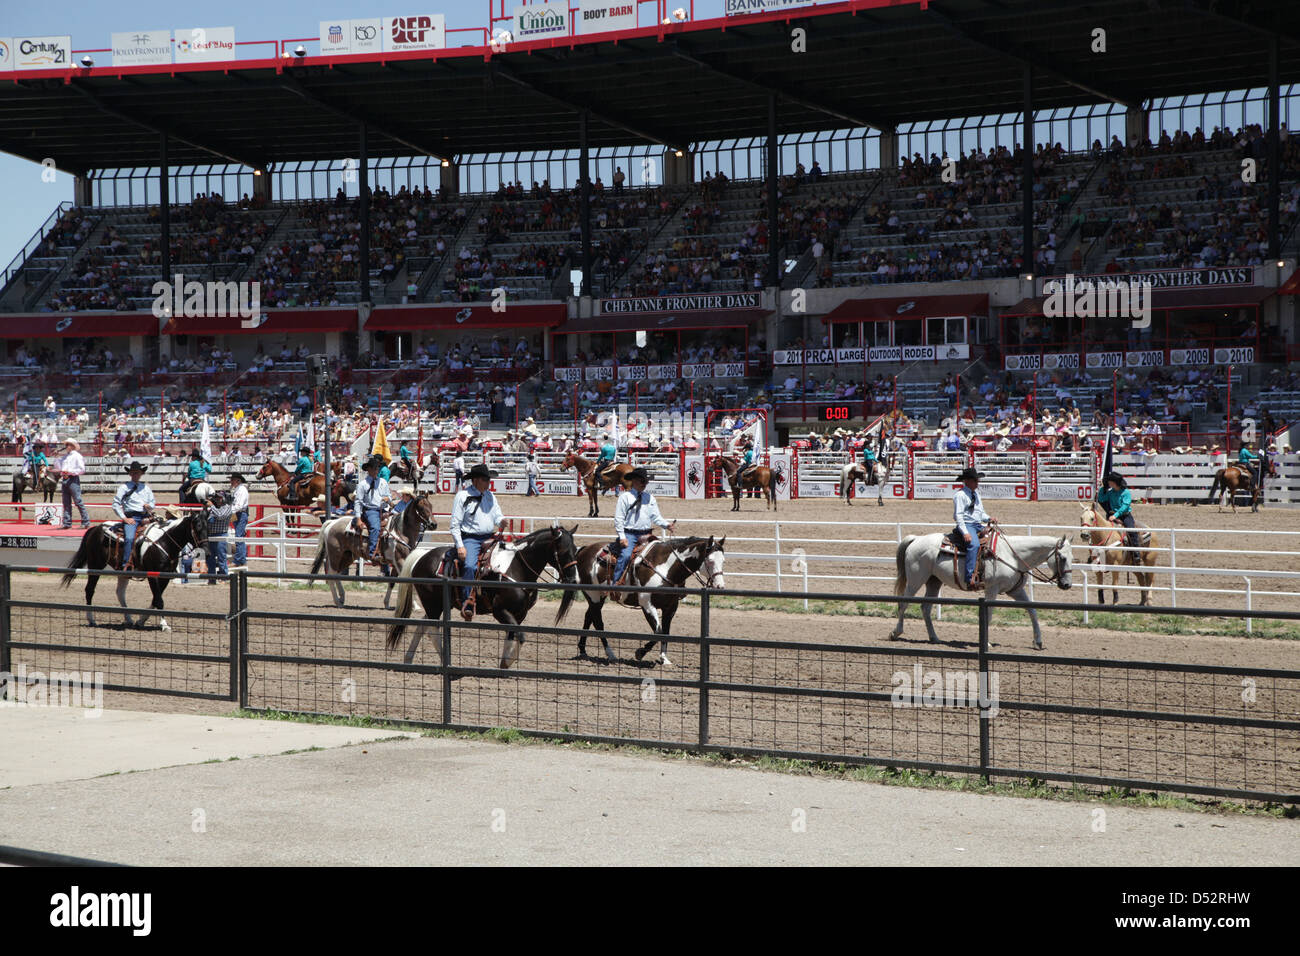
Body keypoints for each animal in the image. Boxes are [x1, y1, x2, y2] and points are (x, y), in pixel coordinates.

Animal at [59, 509, 209, 634]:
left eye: (207, 526)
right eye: (198, 526)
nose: (207, 549)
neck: (164, 541)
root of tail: (95, 528)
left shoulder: (165, 577)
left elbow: (155, 598)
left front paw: (140, 621)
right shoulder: (153, 576)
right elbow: (159, 600)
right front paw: (164, 625)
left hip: (123, 572)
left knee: (120, 593)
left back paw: (129, 619)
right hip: (96, 566)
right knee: (90, 589)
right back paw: (91, 619)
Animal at [308, 494, 436, 606]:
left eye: (431, 506)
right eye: (421, 507)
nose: (433, 524)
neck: (400, 531)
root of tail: (332, 522)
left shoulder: (396, 563)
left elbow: (392, 582)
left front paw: (386, 603)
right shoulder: (400, 561)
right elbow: (408, 582)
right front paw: (415, 606)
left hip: (347, 556)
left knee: (337, 574)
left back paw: (342, 597)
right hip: (335, 554)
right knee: (331, 574)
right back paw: (337, 602)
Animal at [384, 520, 579, 671]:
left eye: (576, 549)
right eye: (563, 551)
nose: (575, 580)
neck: (517, 567)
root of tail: (422, 556)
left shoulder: (520, 614)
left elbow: (513, 634)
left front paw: (504, 664)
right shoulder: (500, 611)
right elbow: (521, 636)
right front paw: (508, 661)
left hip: (437, 604)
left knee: (423, 625)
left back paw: (408, 659)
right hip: (433, 604)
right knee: (432, 630)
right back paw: (445, 661)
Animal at [574, 535, 728, 671]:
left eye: (723, 561)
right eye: (710, 561)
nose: (720, 586)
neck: (666, 568)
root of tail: (585, 549)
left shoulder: (671, 607)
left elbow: (665, 632)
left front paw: (664, 659)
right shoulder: (647, 605)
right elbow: (658, 631)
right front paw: (640, 652)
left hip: (598, 597)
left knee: (589, 617)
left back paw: (583, 651)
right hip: (593, 595)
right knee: (598, 622)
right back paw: (610, 655)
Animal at [889, 530, 1071, 650]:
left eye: (1072, 558)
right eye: (1062, 558)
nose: (1067, 585)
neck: (1012, 556)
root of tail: (916, 539)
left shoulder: (1015, 590)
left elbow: (1032, 611)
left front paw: (1038, 642)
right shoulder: (991, 589)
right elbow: (988, 615)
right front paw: (987, 643)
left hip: (934, 582)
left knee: (925, 608)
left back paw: (934, 638)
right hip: (915, 580)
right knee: (903, 604)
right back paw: (896, 633)